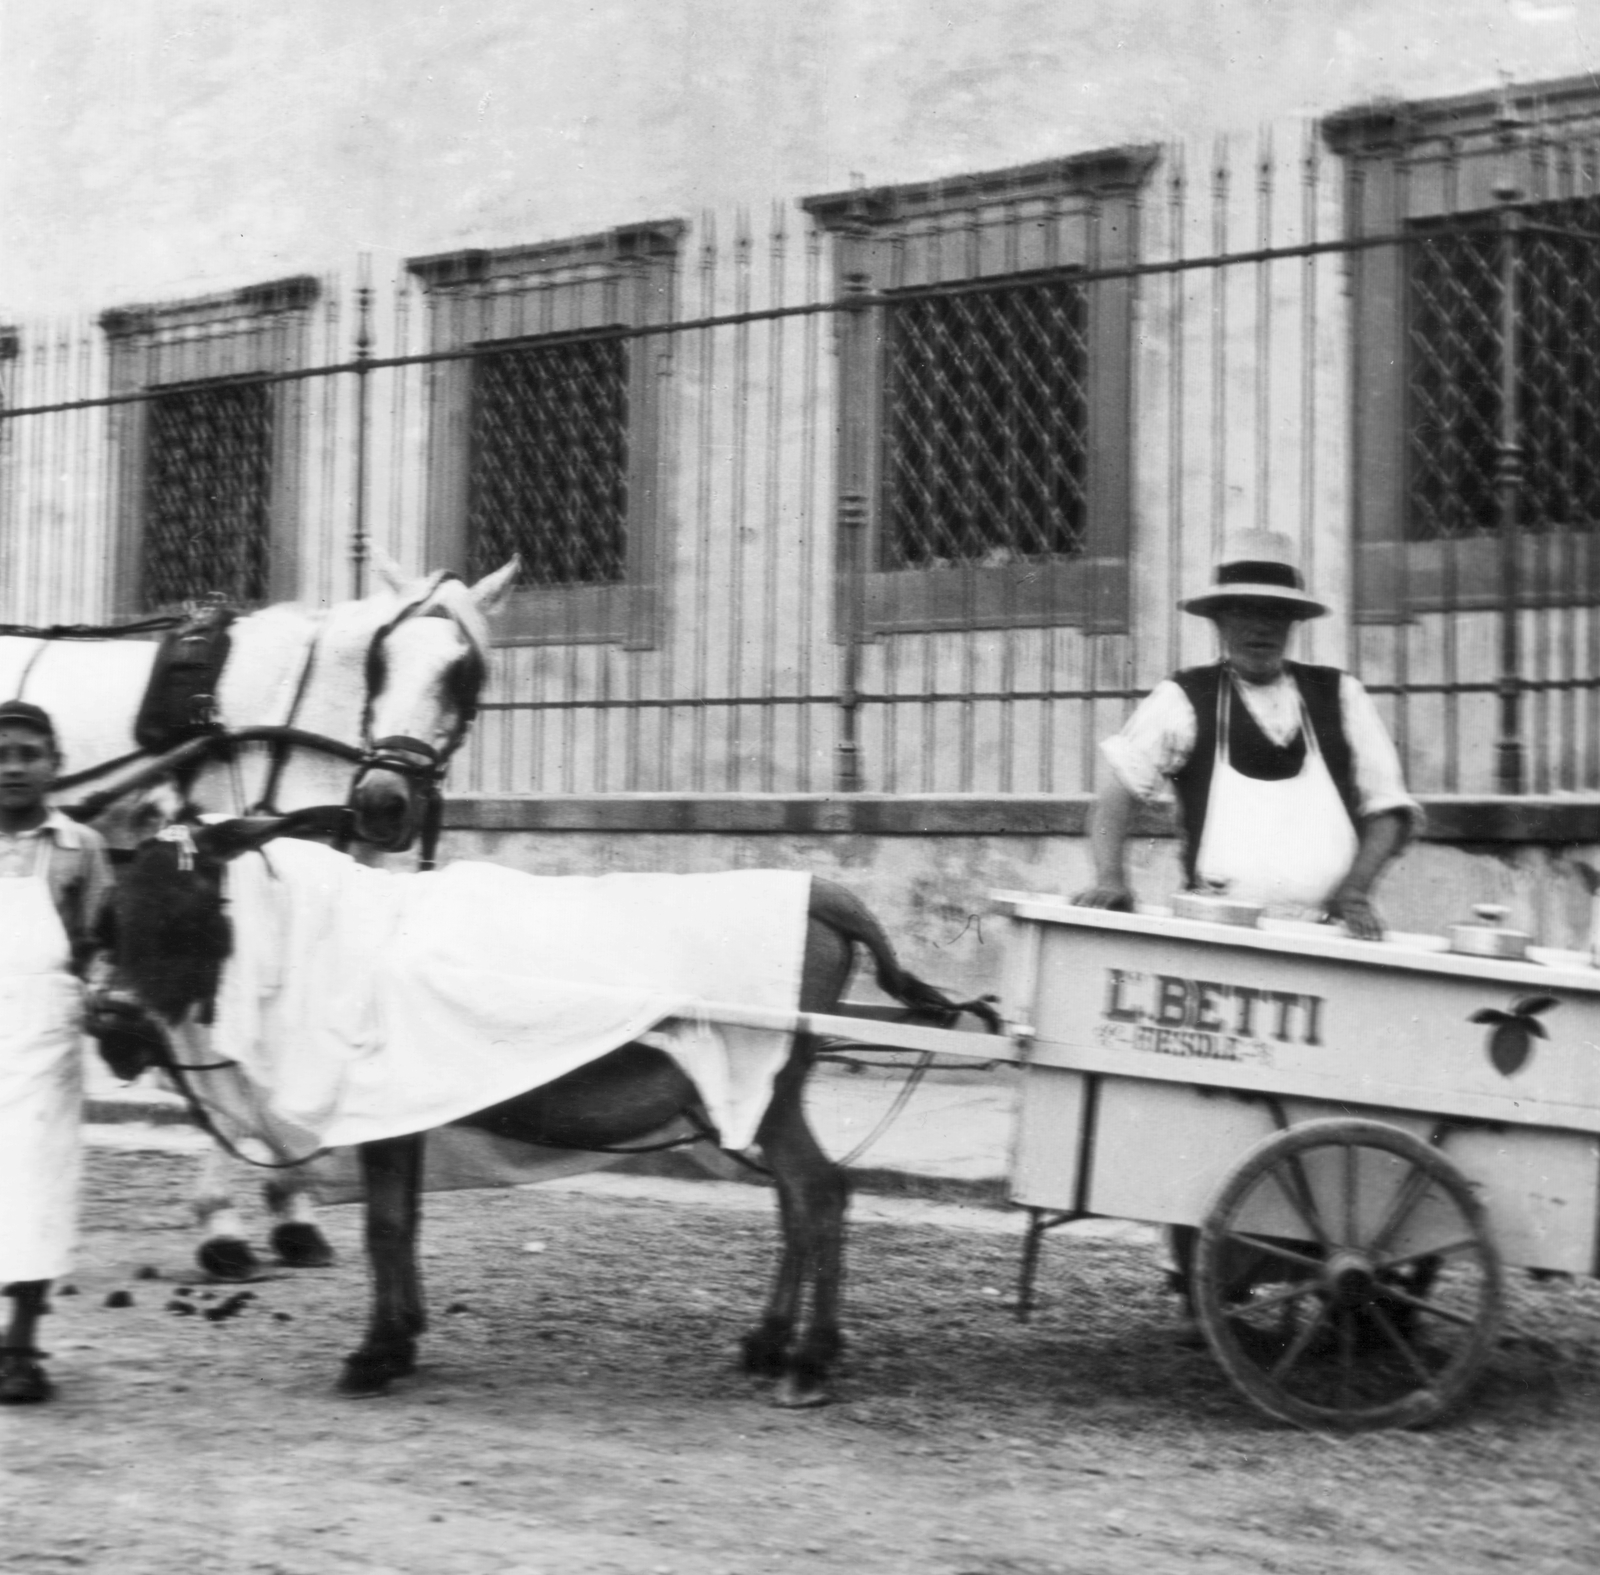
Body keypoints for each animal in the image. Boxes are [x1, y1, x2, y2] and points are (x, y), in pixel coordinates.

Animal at [25, 560, 515, 1274]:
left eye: (462, 671)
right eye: (382, 661)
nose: (384, 801)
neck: (299, 715)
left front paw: (291, 1207)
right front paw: (223, 1223)